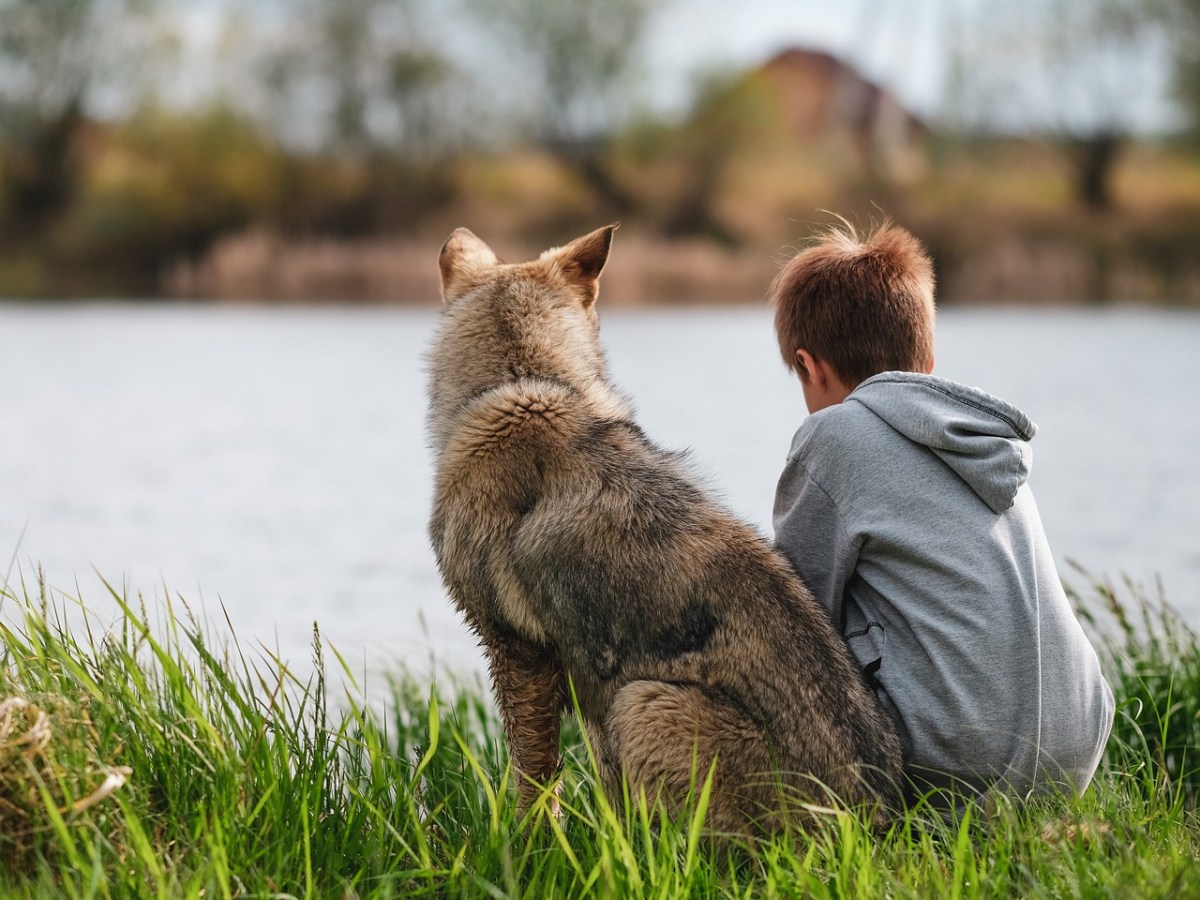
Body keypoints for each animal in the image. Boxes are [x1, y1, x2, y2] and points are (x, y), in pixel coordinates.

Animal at [424, 226, 902, 840]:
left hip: (644, 702)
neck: (523, 382)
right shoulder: (577, 683)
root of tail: (872, 827)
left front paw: (527, 846)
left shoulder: (516, 651)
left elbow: (533, 780)